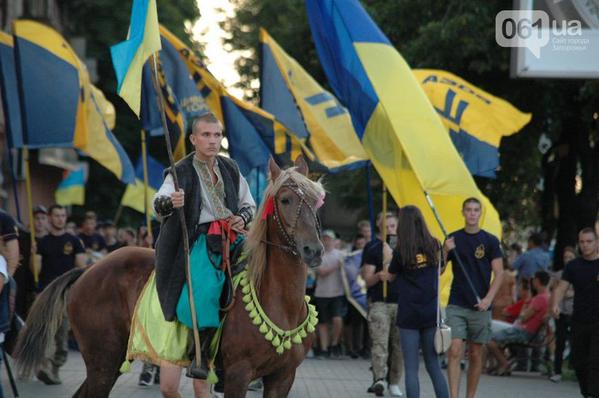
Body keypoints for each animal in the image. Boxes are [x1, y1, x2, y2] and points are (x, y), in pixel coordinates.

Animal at [15, 156, 324, 398]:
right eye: (285, 200)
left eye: (316, 201)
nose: (314, 250)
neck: (279, 301)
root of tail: (88, 271)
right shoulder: (238, 375)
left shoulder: (282, 378)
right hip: (103, 359)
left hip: (109, 362)